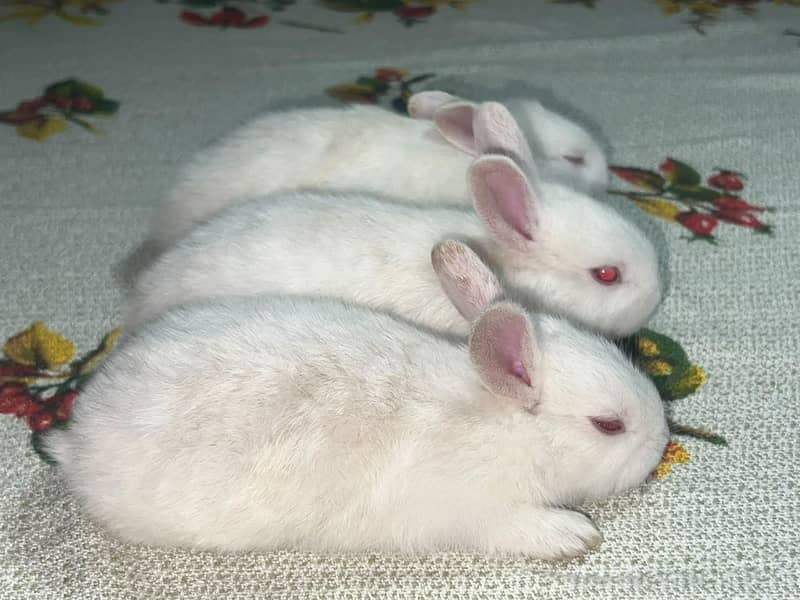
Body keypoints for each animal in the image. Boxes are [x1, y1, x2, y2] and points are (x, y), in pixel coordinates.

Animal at [44, 241, 669, 559]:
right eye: (609, 425)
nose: (663, 442)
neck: (500, 425)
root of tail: (77, 439)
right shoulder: (477, 513)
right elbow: (517, 529)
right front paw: (575, 536)